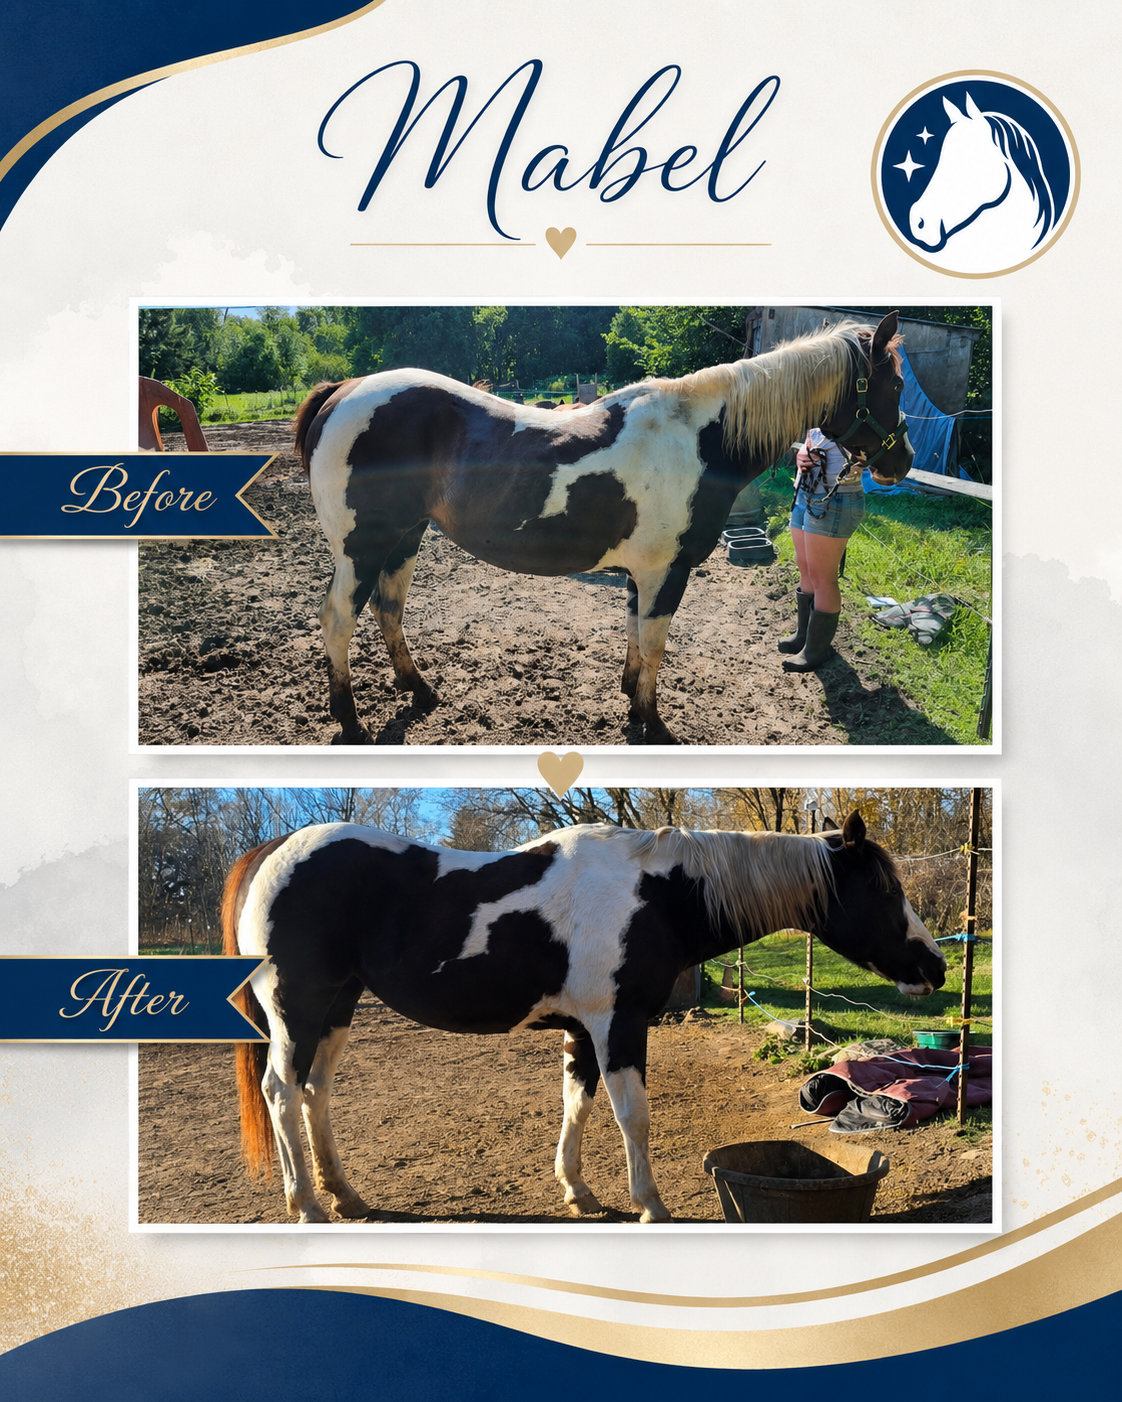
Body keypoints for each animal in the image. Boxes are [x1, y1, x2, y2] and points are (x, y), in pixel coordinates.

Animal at [223, 811, 945, 1224]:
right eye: (883, 889)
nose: (935, 968)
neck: (656, 895)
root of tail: (271, 852)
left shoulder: (581, 1031)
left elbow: (577, 1105)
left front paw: (579, 1193)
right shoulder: (618, 1026)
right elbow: (633, 1117)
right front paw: (650, 1205)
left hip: (337, 1010)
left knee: (314, 1093)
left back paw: (344, 1196)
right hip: (298, 1010)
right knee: (281, 1092)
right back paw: (307, 1206)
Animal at [292, 313, 912, 746]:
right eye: (897, 386)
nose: (900, 462)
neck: (699, 438)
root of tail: (343, 391)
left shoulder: (643, 573)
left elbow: (635, 637)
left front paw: (631, 702)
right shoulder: (666, 572)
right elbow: (655, 644)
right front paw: (653, 724)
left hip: (405, 538)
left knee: (388, 610)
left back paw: (420, 691)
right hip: (363, 548)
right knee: (338, 621)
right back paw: (350, 724)